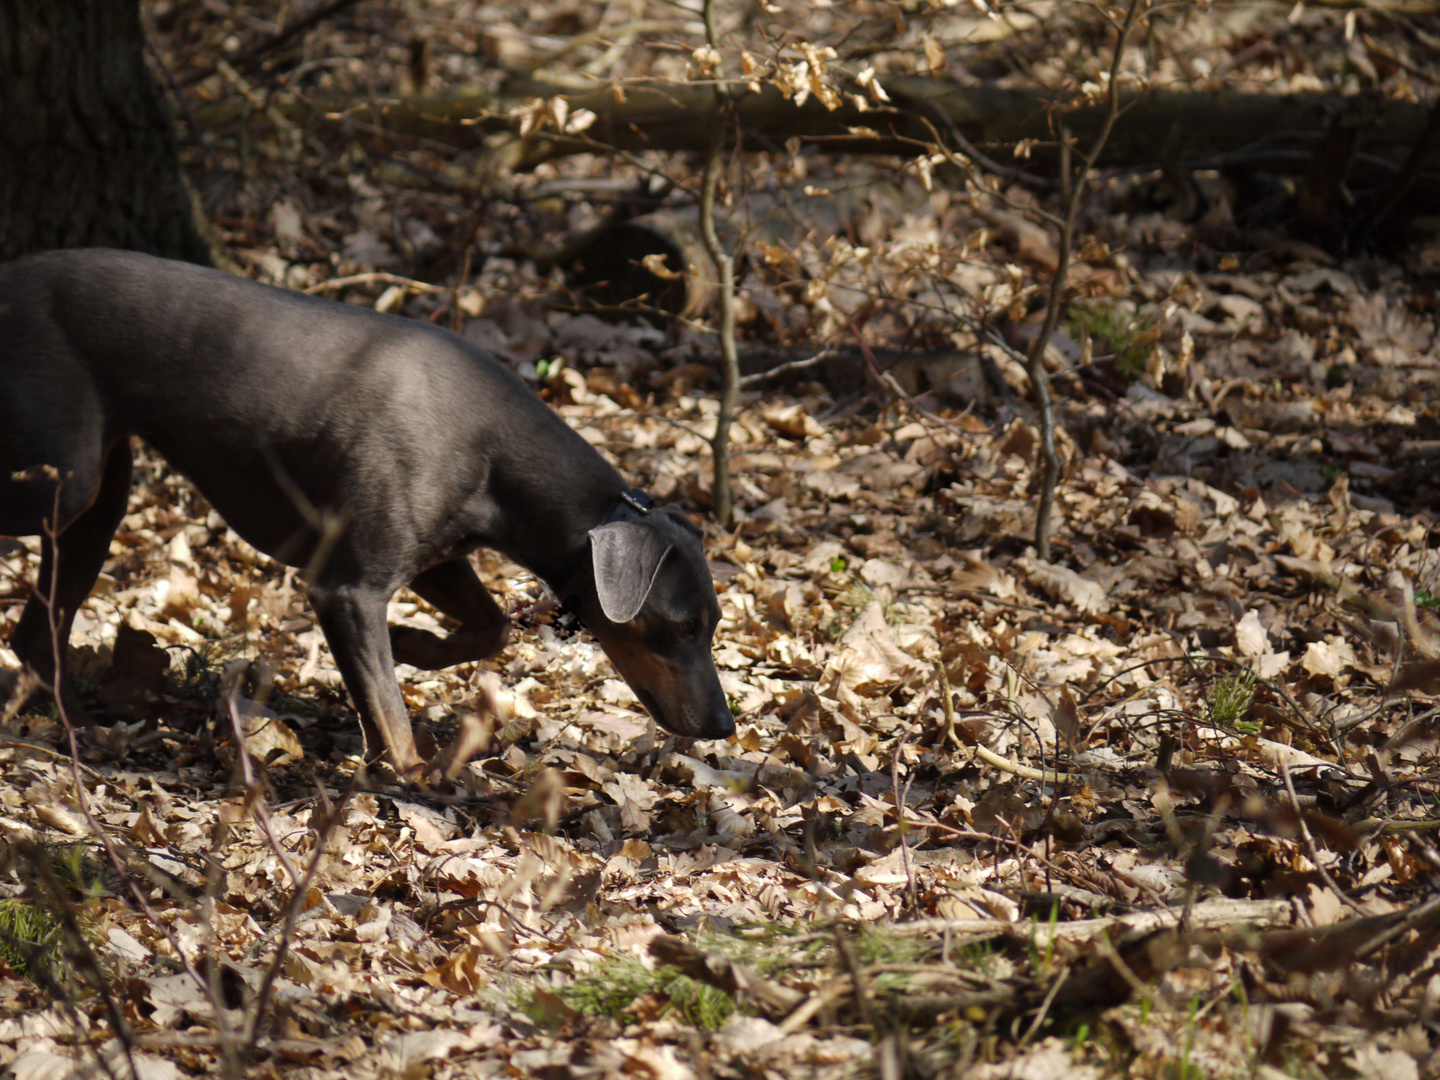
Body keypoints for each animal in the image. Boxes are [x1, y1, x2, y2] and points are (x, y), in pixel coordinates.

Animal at [0, 250, 731, 783]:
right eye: (683, 626)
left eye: (716, 623)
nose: (725, 727)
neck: (496, 454)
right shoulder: (348, 587)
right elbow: (394, 723)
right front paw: (417, 771)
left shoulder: (435, 559)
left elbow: (490, 628)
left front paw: (408, 643)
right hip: (64, 482)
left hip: (97, 500)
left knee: (37, 633)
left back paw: (71, 730)